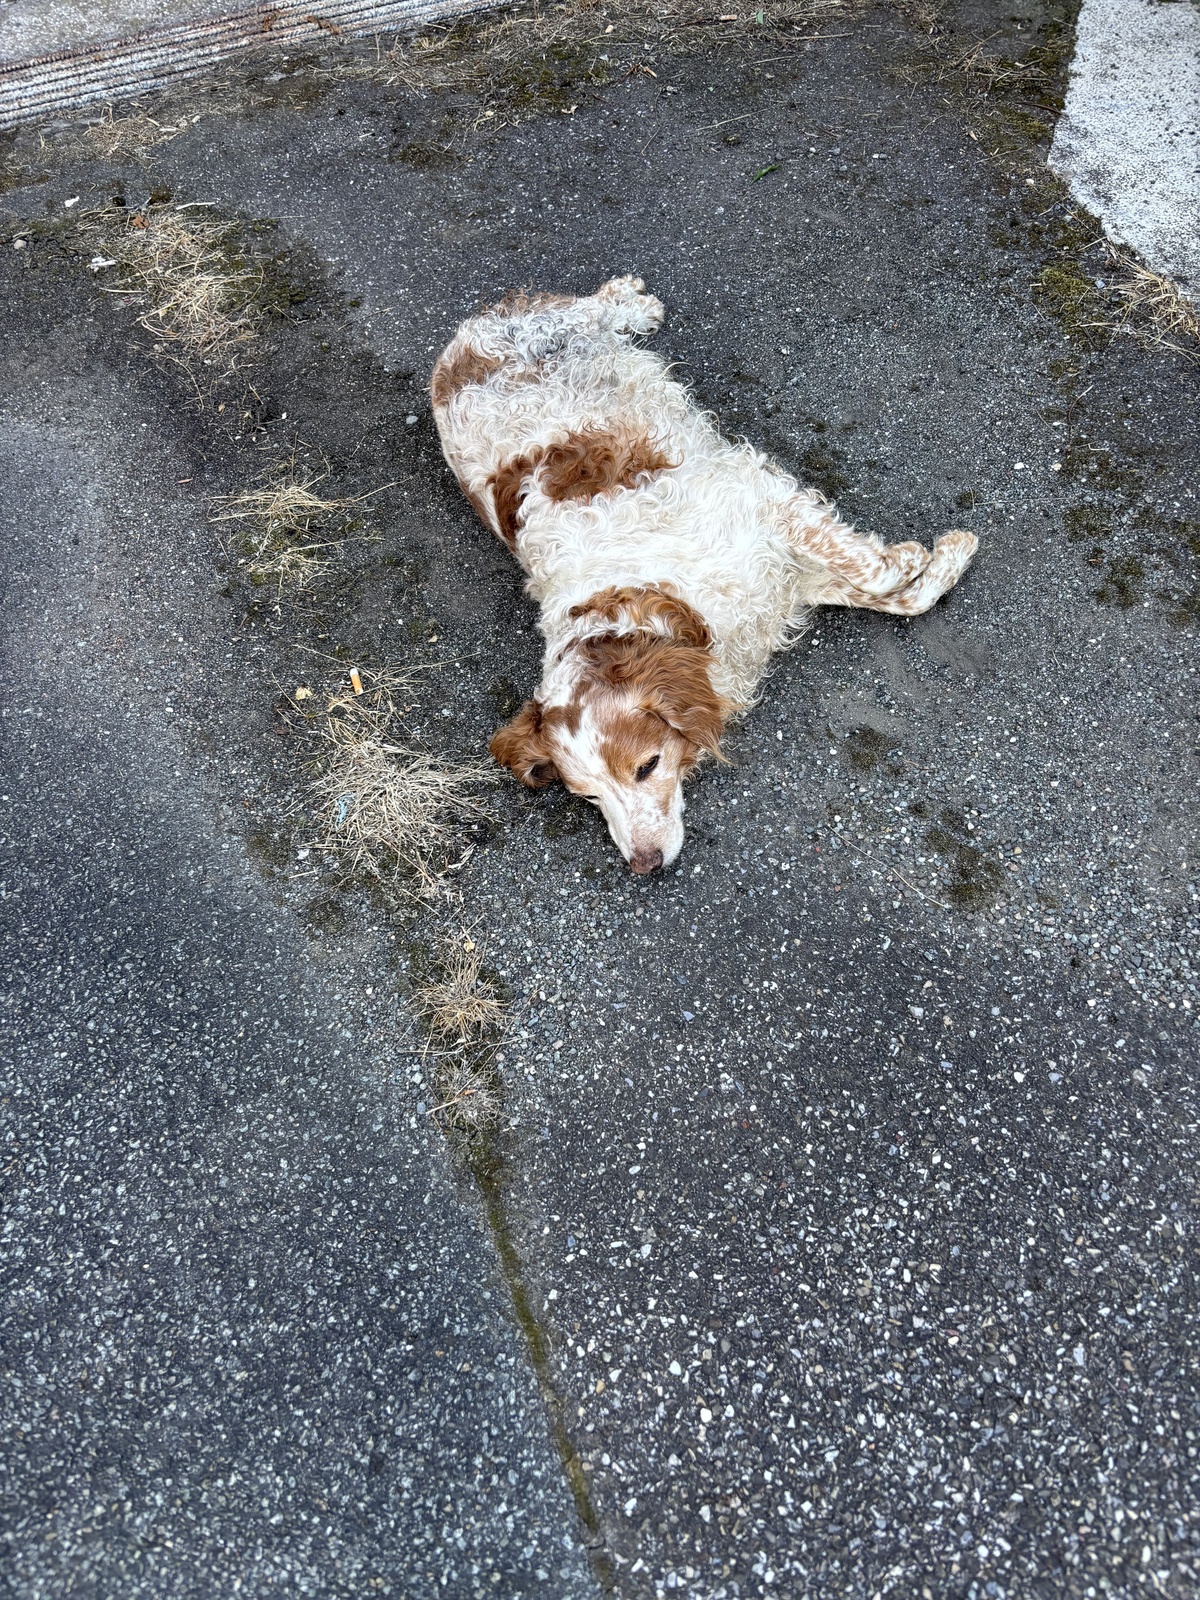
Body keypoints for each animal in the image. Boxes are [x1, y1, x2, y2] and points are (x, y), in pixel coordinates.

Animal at [431, 276, 977, 873]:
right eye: (590, 797)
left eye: (646, 766)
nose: (642, 865)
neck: (653, 596)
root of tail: (458, 341)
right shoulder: (783, 577)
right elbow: (897, 595)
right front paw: (937, 561)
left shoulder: (764, 503)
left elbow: (877, 576)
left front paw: (924, 558)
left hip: (560, 326)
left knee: (591, 306)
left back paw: (633, 300)